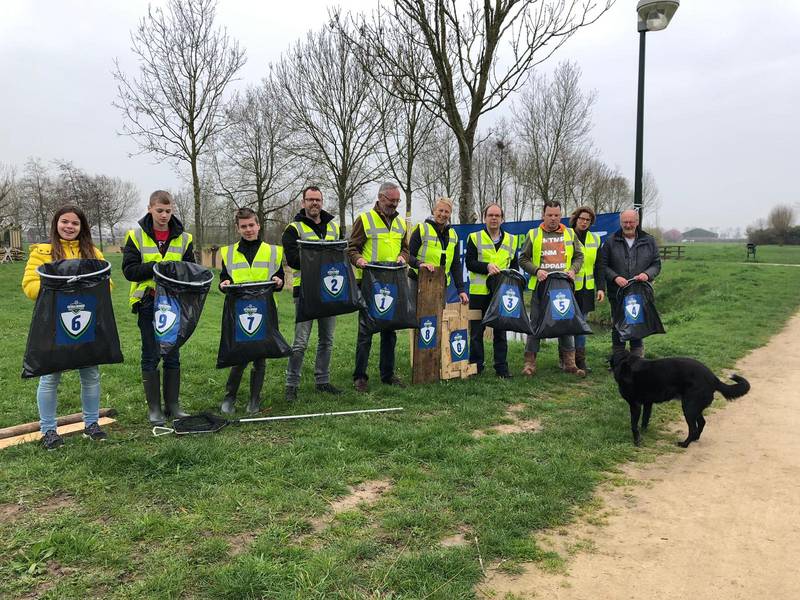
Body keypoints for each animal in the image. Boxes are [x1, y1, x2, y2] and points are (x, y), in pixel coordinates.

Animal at [612, 350, 752, 448]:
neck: (627, 364)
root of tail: (714, 378)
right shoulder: (648, 403)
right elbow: (645, 421)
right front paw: (644, 433)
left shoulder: (635, 405)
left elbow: (633, 426)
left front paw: (637, 441)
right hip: (694, 407)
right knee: (702, 422)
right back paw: (694, 439)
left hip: (689, 407)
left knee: (693, 428)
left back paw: (685, 444)